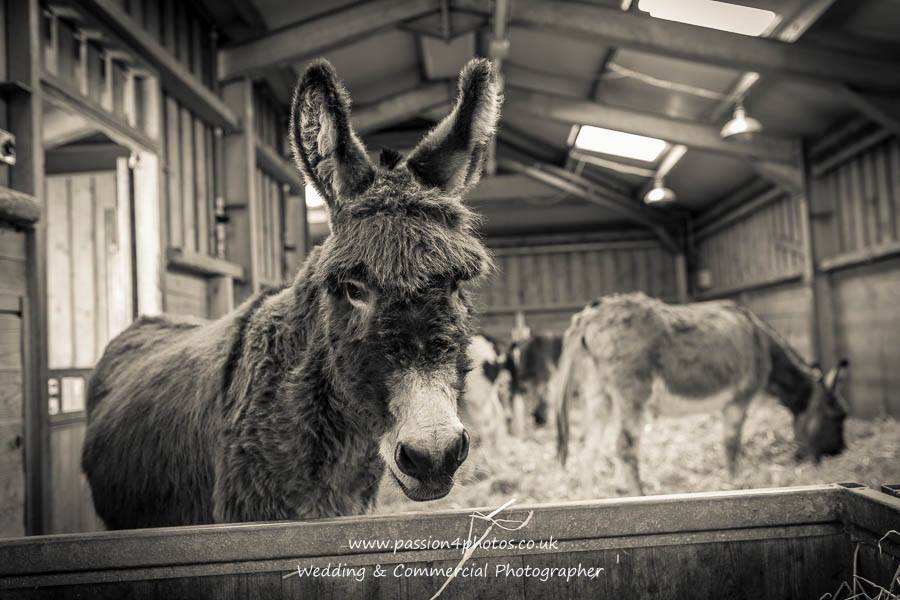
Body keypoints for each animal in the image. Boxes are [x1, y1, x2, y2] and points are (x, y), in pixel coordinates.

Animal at [552, 292, 849, 496]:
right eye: (838, 416)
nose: (840, 452)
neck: (761, 342)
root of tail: (592, 314)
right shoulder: (737, 401)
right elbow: (731, 445)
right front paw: (736, 483)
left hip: (599, 393)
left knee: (588, 448)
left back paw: (590, 500)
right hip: (631, 391)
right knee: (625, 447)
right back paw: (640, 497)